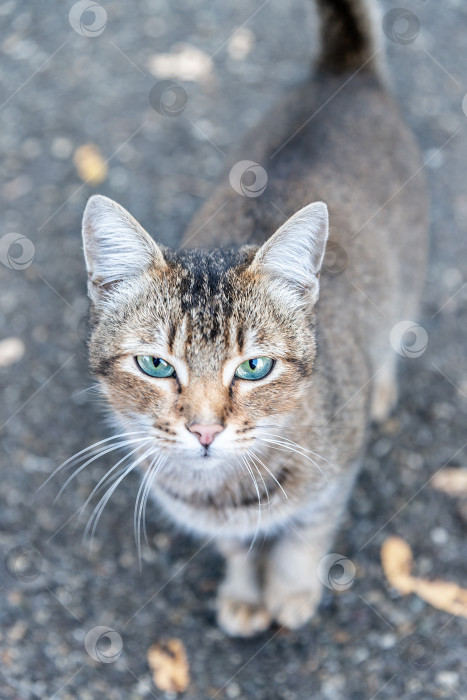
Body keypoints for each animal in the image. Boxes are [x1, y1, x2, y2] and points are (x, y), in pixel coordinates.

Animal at [79, 0, 428, 636]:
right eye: (155, 366)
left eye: (255, 367)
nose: (205, 431)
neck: (219, 492)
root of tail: (342, 70)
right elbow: (237, 548)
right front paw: (245, 593)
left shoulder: (335, 479)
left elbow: (302, 539)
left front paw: (290, 592)